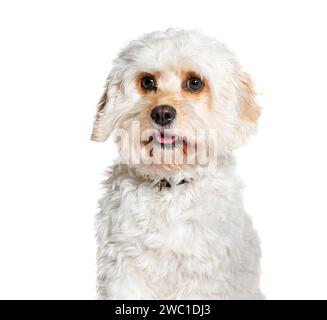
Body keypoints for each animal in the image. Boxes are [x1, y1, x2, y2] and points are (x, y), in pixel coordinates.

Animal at [91, 28, 264, 298]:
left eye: (194, 82)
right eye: (147, 82)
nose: (162, 113)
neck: (169, 184)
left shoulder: (204, 277)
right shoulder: (123, 270)